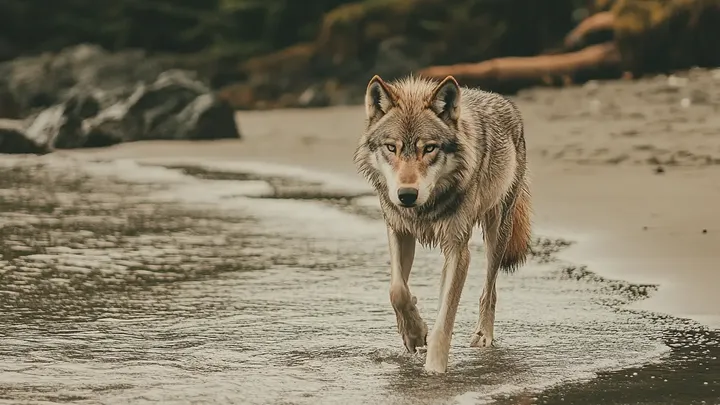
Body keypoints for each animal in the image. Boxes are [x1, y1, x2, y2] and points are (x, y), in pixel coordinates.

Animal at [353, 74, 532, 373]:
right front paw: (413, 333)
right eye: (392, 147)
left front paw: (434, 370)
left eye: (429, 148)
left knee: (489, 291)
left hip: (496, 234)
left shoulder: (457, 248)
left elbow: (444, 322)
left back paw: (483, 335)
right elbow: (397, 290)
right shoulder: (399, 230)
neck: (425, 208)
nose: (407, 195)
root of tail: (504, 101)